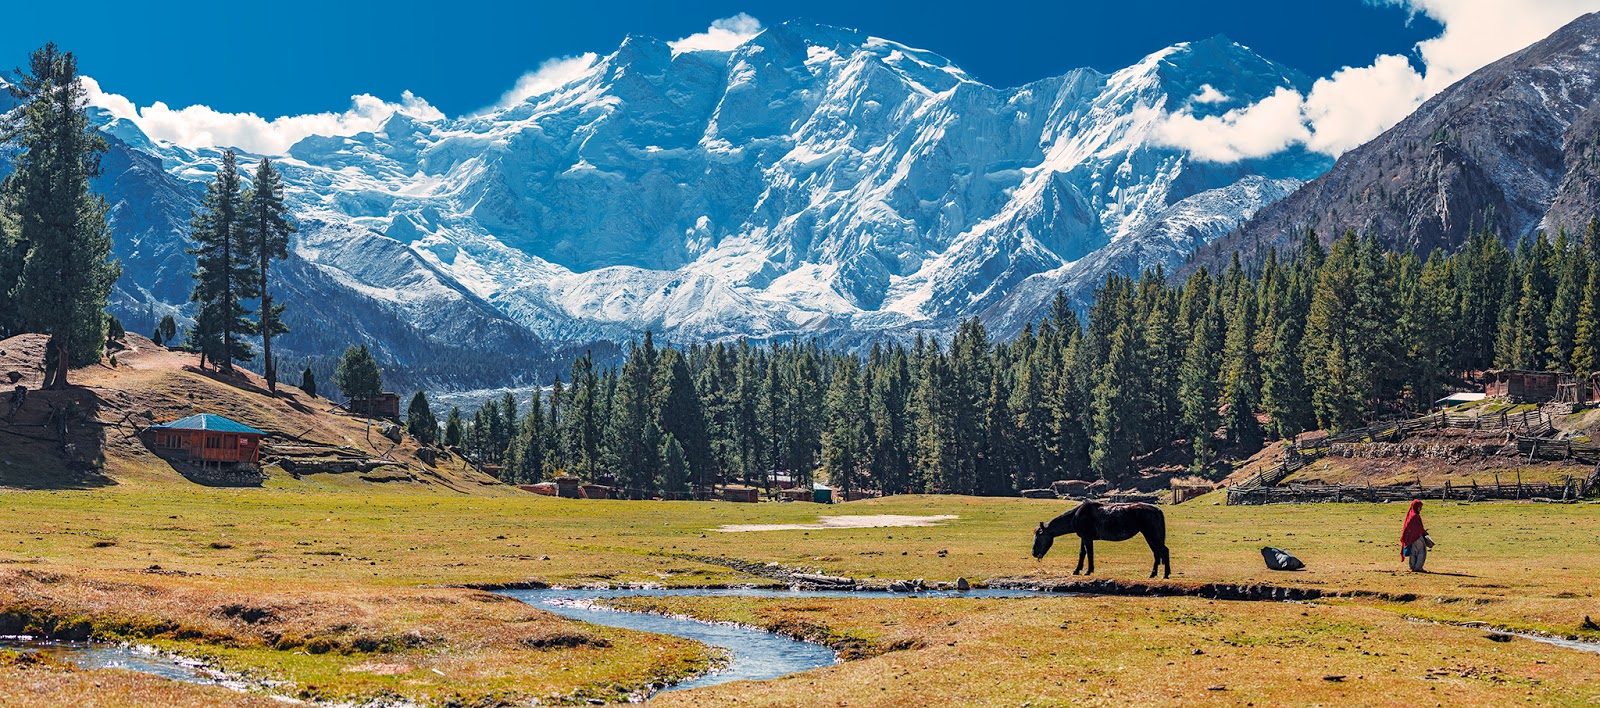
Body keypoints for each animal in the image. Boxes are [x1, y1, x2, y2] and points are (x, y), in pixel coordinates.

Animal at [1030, 499, 1171, 576]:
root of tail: (1157, 510)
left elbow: (1089, 553)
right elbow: (1082, 553)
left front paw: (1088, 571)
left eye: (1039, 536)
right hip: (1150, 536)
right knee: (1157, 553)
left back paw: (1165, 574)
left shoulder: (1087, 538)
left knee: (1164, 551)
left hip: (1151, 535)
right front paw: (1077, 570)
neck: (1076, 516)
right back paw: (1153, 574)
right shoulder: (1083, 537)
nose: (1034, 553)